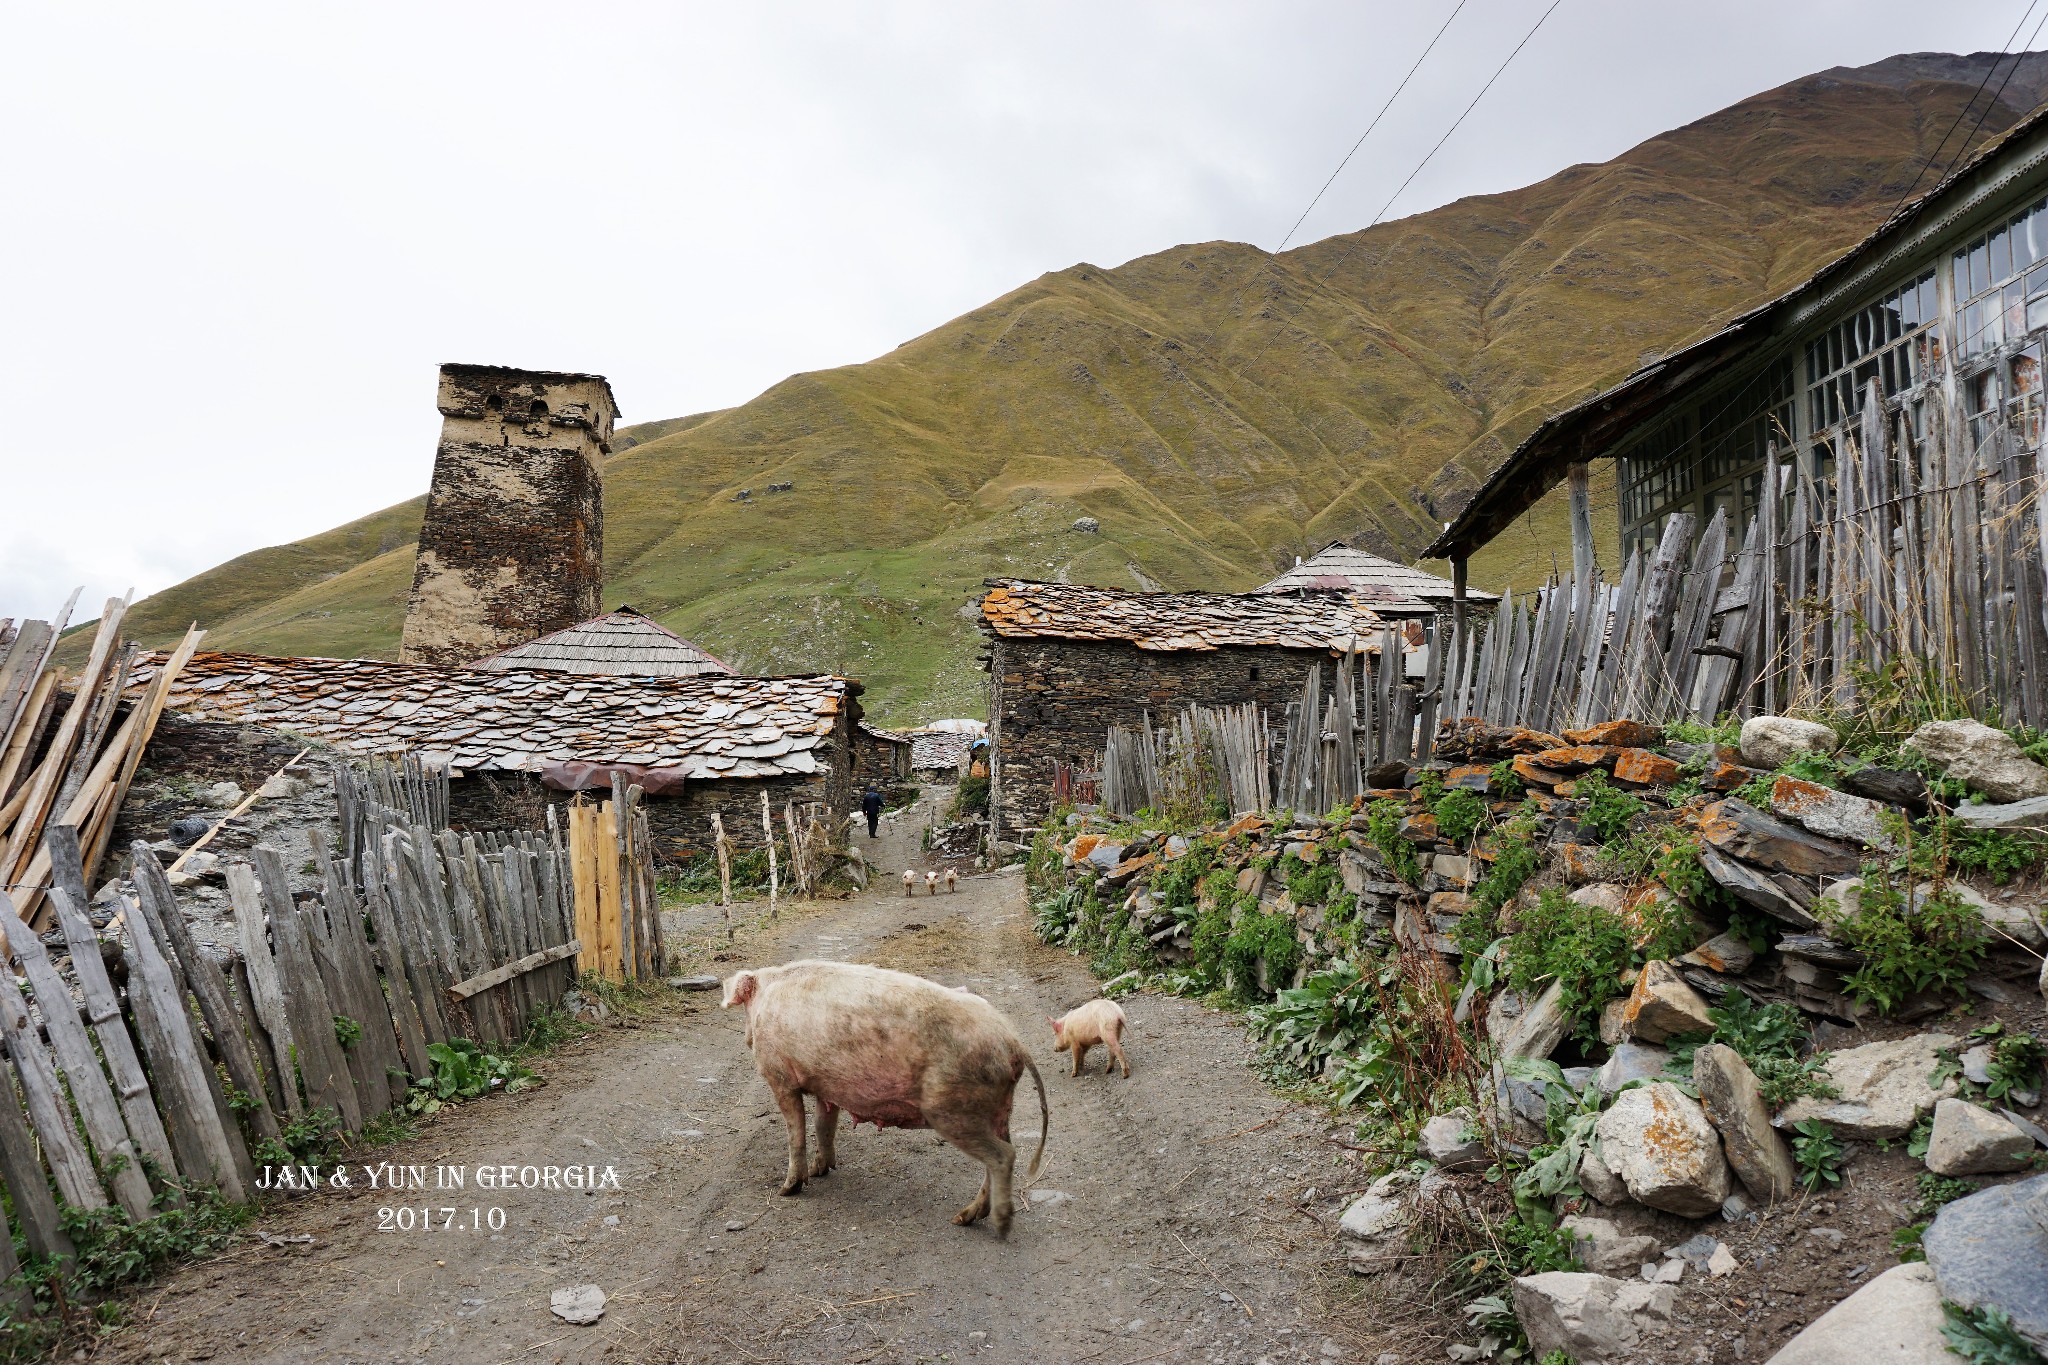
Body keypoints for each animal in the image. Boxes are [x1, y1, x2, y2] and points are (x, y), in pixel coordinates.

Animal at [720, 961, 1048, 1236]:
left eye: (745, 1008)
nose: (747, 1038)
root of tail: (1013, 1041)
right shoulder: (827, 1087)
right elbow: (824, 1126)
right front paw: (820, 1170)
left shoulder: (780, 1078)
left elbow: (795, 1132)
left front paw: (786, 1190)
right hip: (998, 1109)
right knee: (1000, 1154)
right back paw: (963, 1218)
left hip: (952, 1110)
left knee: (1003, 1156)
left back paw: (997, 1226)